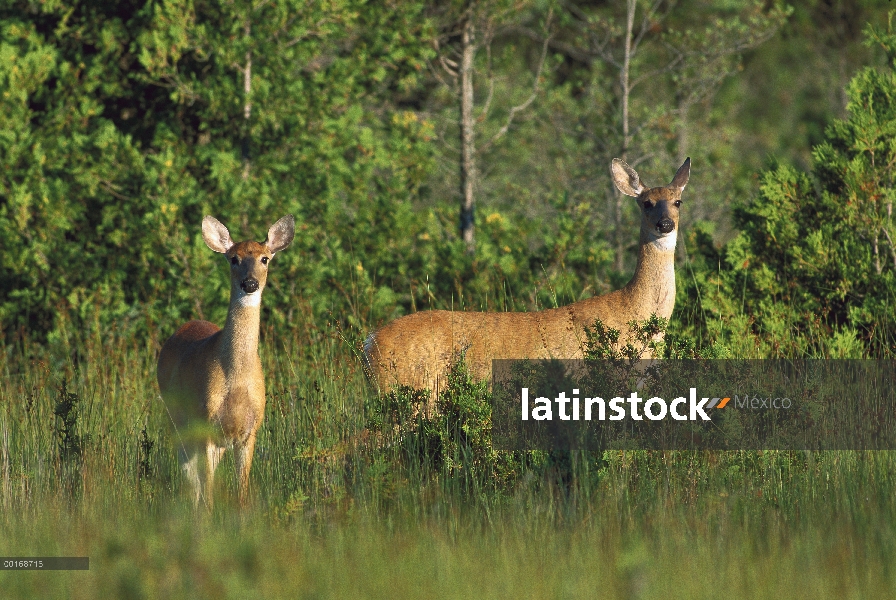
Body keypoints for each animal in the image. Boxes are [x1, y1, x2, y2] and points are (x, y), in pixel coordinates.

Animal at [156, 213, 292, 508]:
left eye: (265, 258)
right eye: (234, 259)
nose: (250, 283)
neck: (237, 381)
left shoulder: (250, 431)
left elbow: (241, 492)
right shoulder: (206, 423)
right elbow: (207, 489)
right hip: (178, 417)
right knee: (190, 476)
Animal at [360, 159, 688, 400]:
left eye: (678, 202)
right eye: (646, 203)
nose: (665, 224)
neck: (637, 313)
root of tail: (369, 342)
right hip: (410, 390)